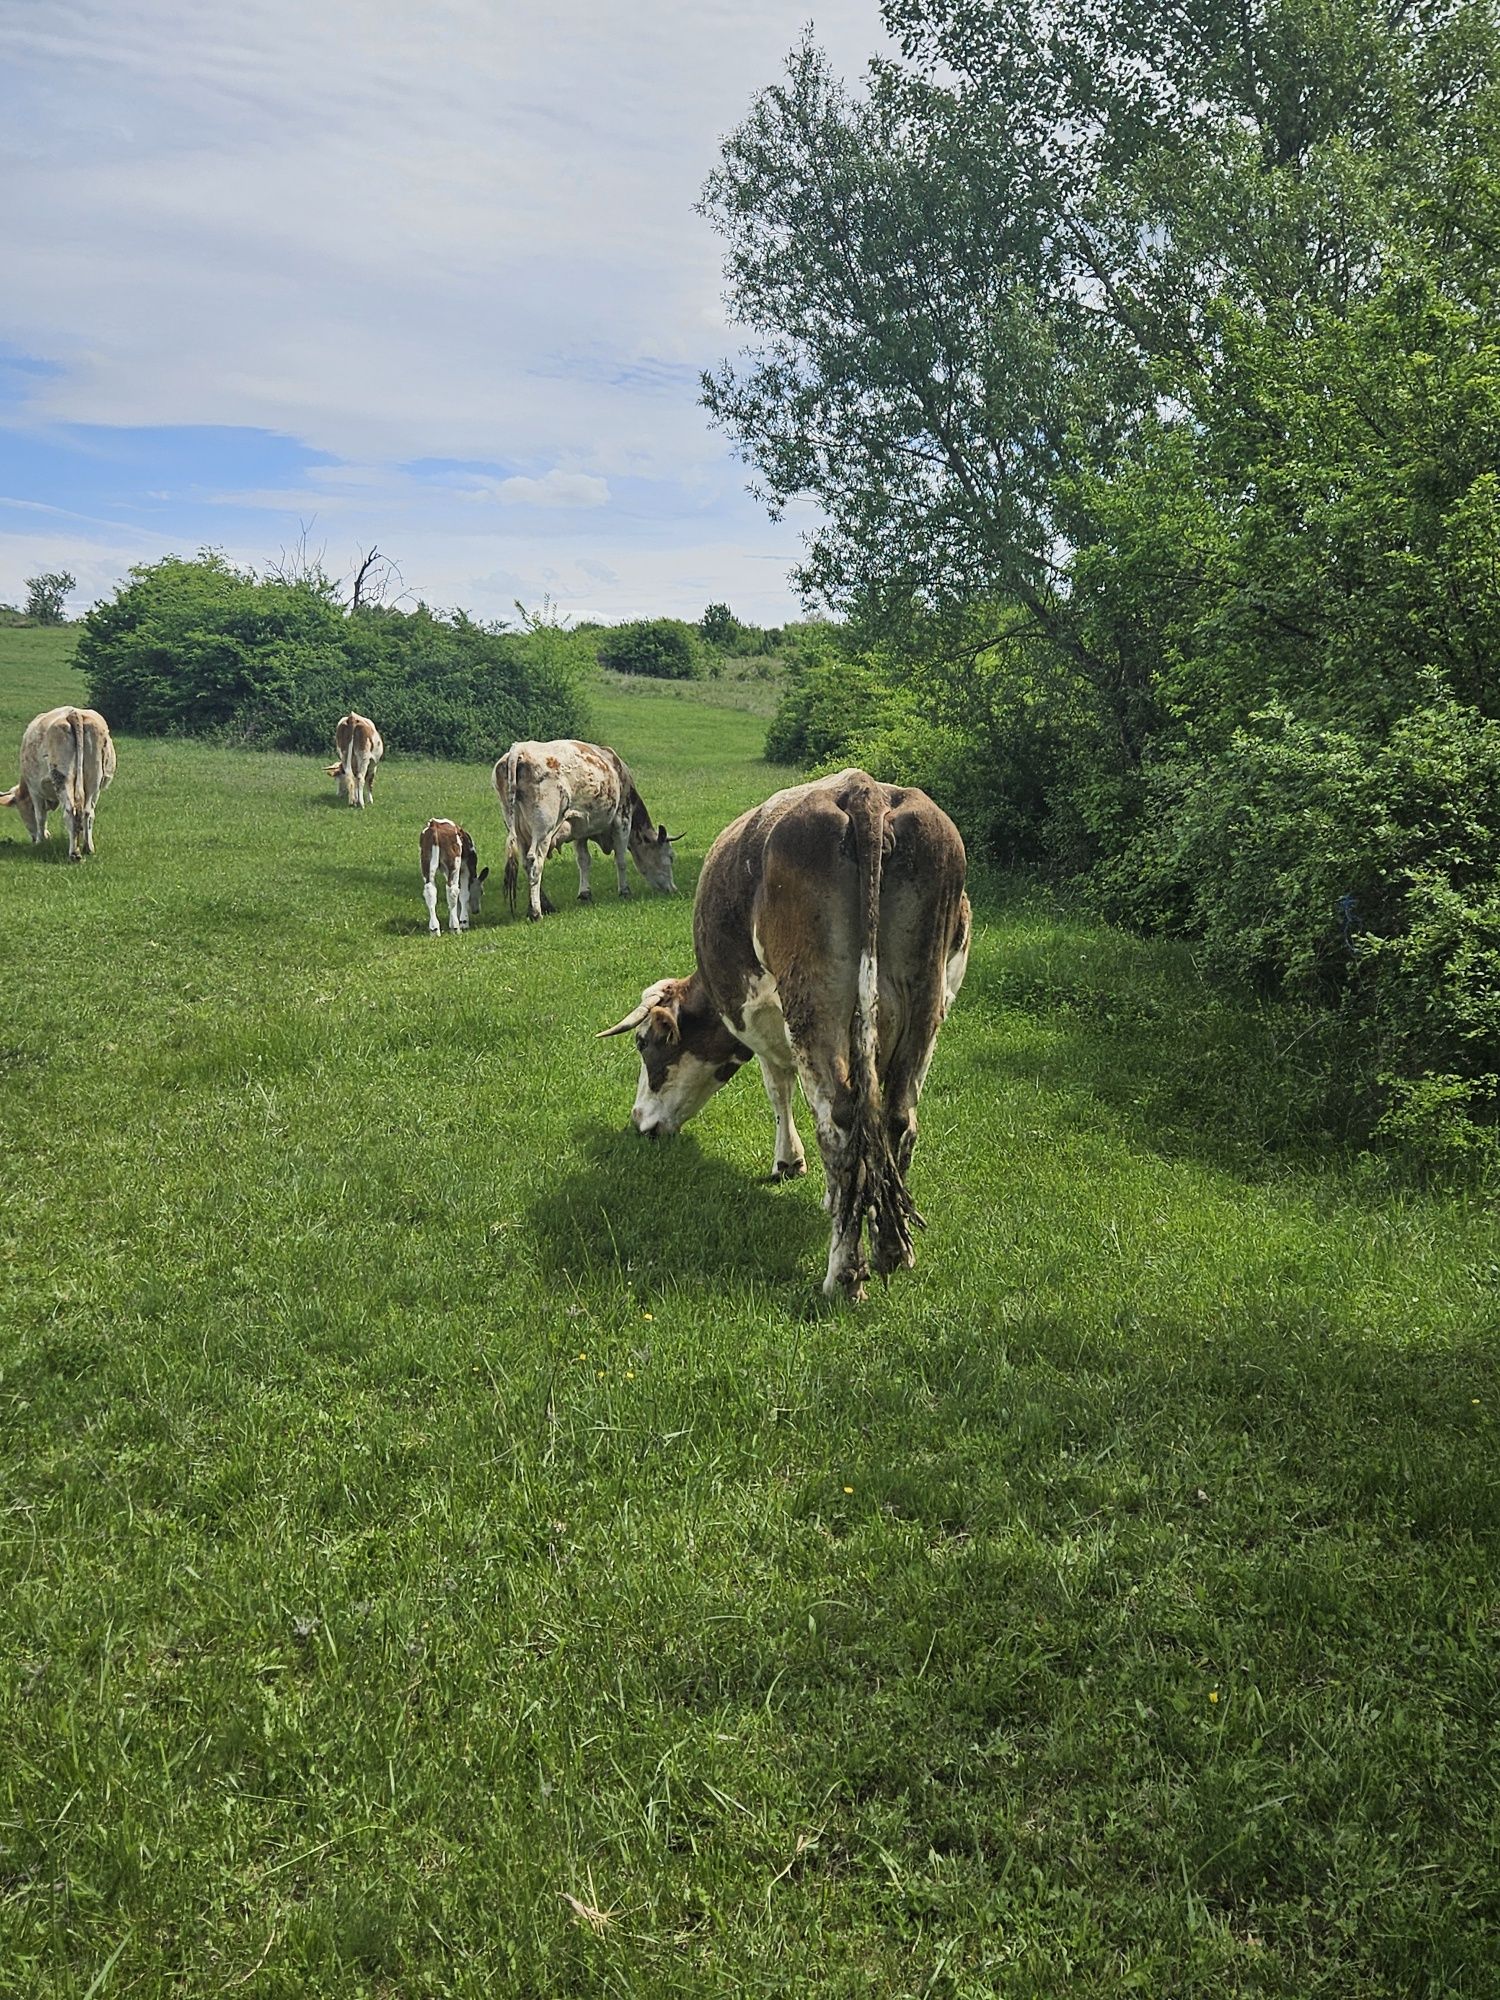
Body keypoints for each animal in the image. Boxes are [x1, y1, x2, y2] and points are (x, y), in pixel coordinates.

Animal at [0, 704, 117, 860]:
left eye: (23, 810)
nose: (33, 838)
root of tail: (73, 713)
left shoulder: (34, 790)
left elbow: (40, 817)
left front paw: (40, 841)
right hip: (94, 779)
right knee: (87, 813)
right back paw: (88, 848)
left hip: (62, 776)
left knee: (70, 811)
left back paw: (74, 853)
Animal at [494, 740, 680, 916]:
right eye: (670, 857)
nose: (673, 889)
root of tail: (519, 749)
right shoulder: (622, 819)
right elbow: (620, 860)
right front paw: (625, 891)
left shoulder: (579, 826)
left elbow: (584, 860)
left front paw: (585, 893)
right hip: (543, 831)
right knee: (535, 863)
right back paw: (535, 912)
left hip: (518, 831)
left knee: (526, 864)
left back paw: (544, 906)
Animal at [604, 764, 976, 1296]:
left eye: (645, 1045)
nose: (639, 1121)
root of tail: (864, 793)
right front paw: (841, 1200)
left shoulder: (764, 1025)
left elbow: (779, 1090)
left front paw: (790, 1163)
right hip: (926, 1000)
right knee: (897, 1118)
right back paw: (892, 1249)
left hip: (812, 1003)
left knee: (839, 1122)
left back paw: (844, 1273)